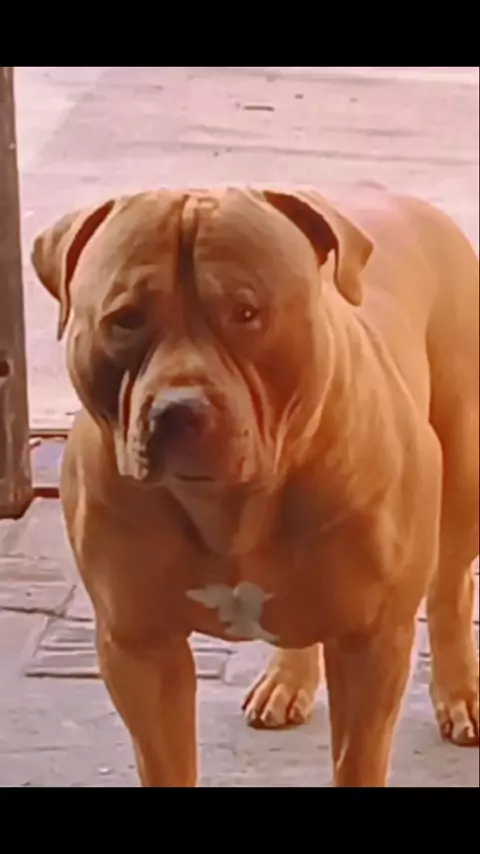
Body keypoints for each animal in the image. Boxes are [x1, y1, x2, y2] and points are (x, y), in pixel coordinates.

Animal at [32, 185, 479, 786]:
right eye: (125, 319)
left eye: (247, 313)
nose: (178, 410)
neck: (229, 505)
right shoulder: (138, 647)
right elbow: (166, 760)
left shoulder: (372, 642)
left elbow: (358, 759)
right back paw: (287, 681)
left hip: (463, 471)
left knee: (451, 585)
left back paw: (460, 694)